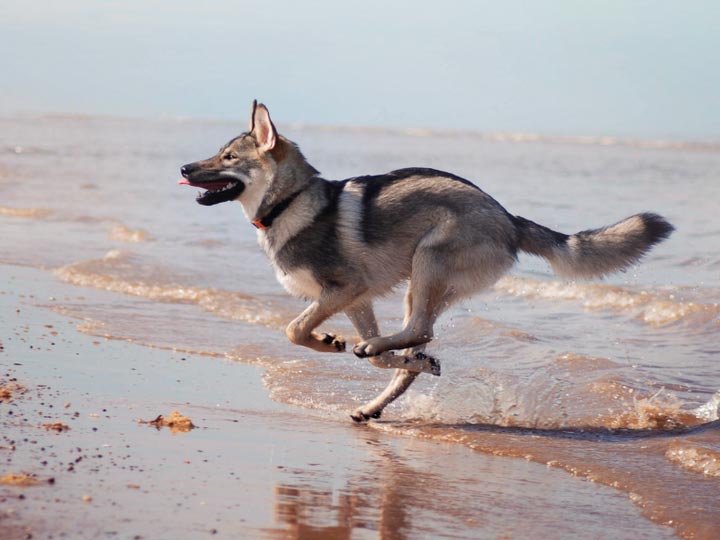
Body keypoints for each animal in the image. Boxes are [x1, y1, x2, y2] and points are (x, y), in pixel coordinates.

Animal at [179, 101, 674, 422]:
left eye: (228, 157)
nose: (184, 168)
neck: (291, 202)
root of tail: (508, 218)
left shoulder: (345, 290)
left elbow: (294, 329)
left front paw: (328, 341)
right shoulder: (356, 300)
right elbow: (372, 356)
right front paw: (345, 345)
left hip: (427, 261)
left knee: (420, 331)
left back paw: (382, 356)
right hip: (423, 285)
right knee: (414, 346)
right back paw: (383, 392)